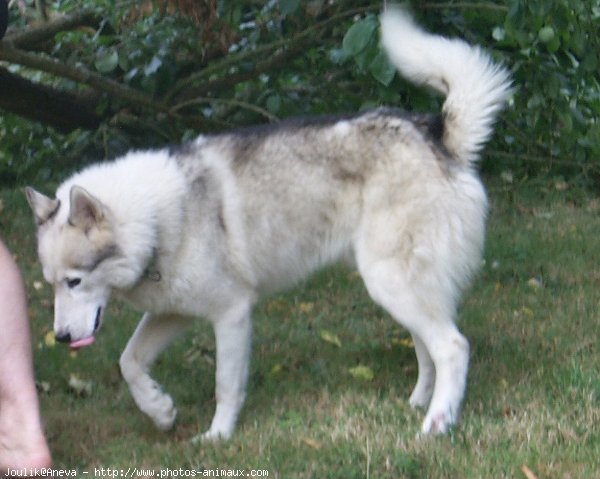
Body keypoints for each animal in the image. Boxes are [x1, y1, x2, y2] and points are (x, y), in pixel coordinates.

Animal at [24, 9, 510, 440]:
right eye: (51, 282)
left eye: (74, 281)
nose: (60, 338)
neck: (157, 220)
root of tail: (436, 133)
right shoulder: (172, 312)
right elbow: (129, 362)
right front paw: (160, 411)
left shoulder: (232, 314)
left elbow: (225, 386)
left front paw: (218, 437)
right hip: (401, 290)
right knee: (429, 349)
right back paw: (419, 402)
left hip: (392, 283)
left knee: (453, 347)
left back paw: (438, 422)